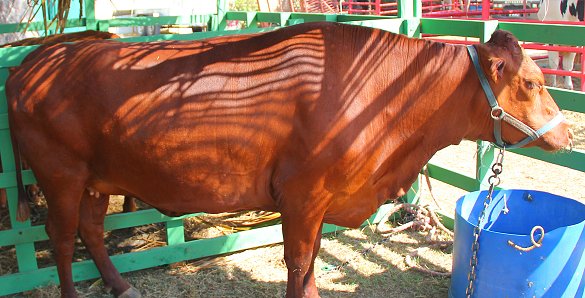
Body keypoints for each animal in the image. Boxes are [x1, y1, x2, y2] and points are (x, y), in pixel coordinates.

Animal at [4, 23, 572, 298]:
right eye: (531, 83)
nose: (567, 134)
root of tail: (35, 58)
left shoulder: (321, 200)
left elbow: (312, 259)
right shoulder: (301, 195)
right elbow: (298, 262)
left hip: (97, 178)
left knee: (91, 231)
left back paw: (121, 285)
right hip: (60, 174)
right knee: (61, 238)